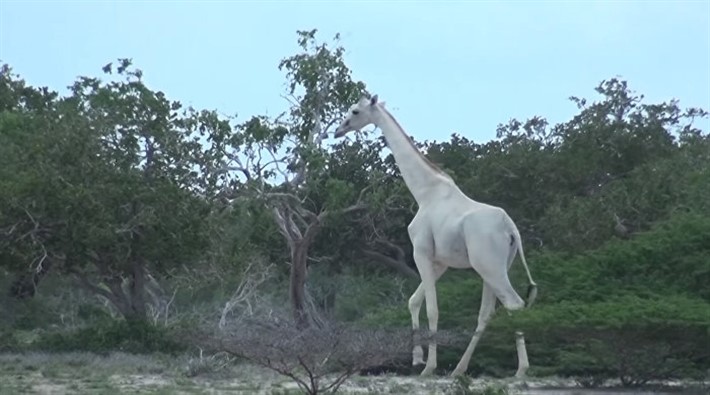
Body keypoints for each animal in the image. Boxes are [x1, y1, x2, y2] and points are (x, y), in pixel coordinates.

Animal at [336, 94, 540, 378]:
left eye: (355, 111)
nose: (337, 130)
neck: (424, 192)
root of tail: (512, 230)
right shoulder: (440, 261)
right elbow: (413, 301)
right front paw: (416, 359)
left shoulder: (420, 252)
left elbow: (432, 309)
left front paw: (428, 366)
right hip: (495, 267)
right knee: (487, 313)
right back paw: (459, 369)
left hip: (489, 266)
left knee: (513, 304)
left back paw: (521, 370)